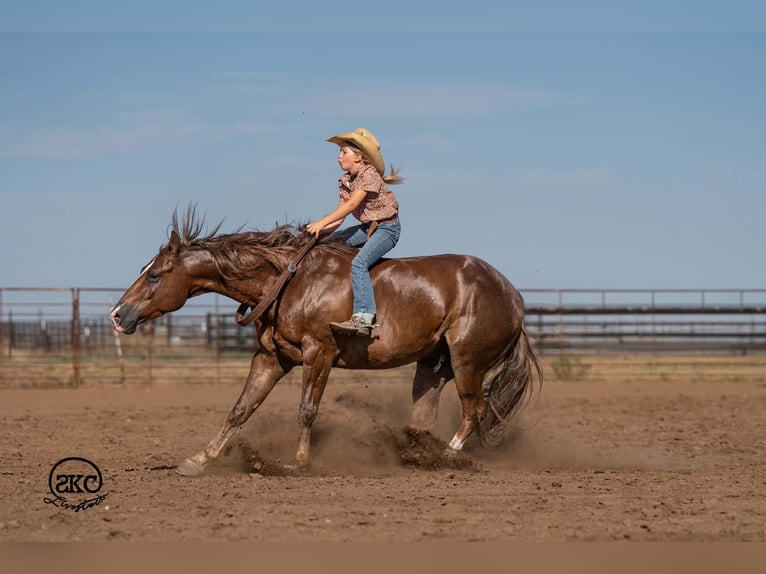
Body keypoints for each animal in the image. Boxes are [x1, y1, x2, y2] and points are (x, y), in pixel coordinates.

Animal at [110, 207, 542, 475]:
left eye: (154, 275)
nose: (117, 315)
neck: (287, 281)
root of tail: (512, 296)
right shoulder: (270, 358)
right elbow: (240, 409)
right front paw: (199, 459)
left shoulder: (320, 353)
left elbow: (307, 410)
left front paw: (298, 462)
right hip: (434, 366)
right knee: (425, 416)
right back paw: (415, 453)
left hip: (468, 360)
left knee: (475, 411)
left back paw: (447, 457)